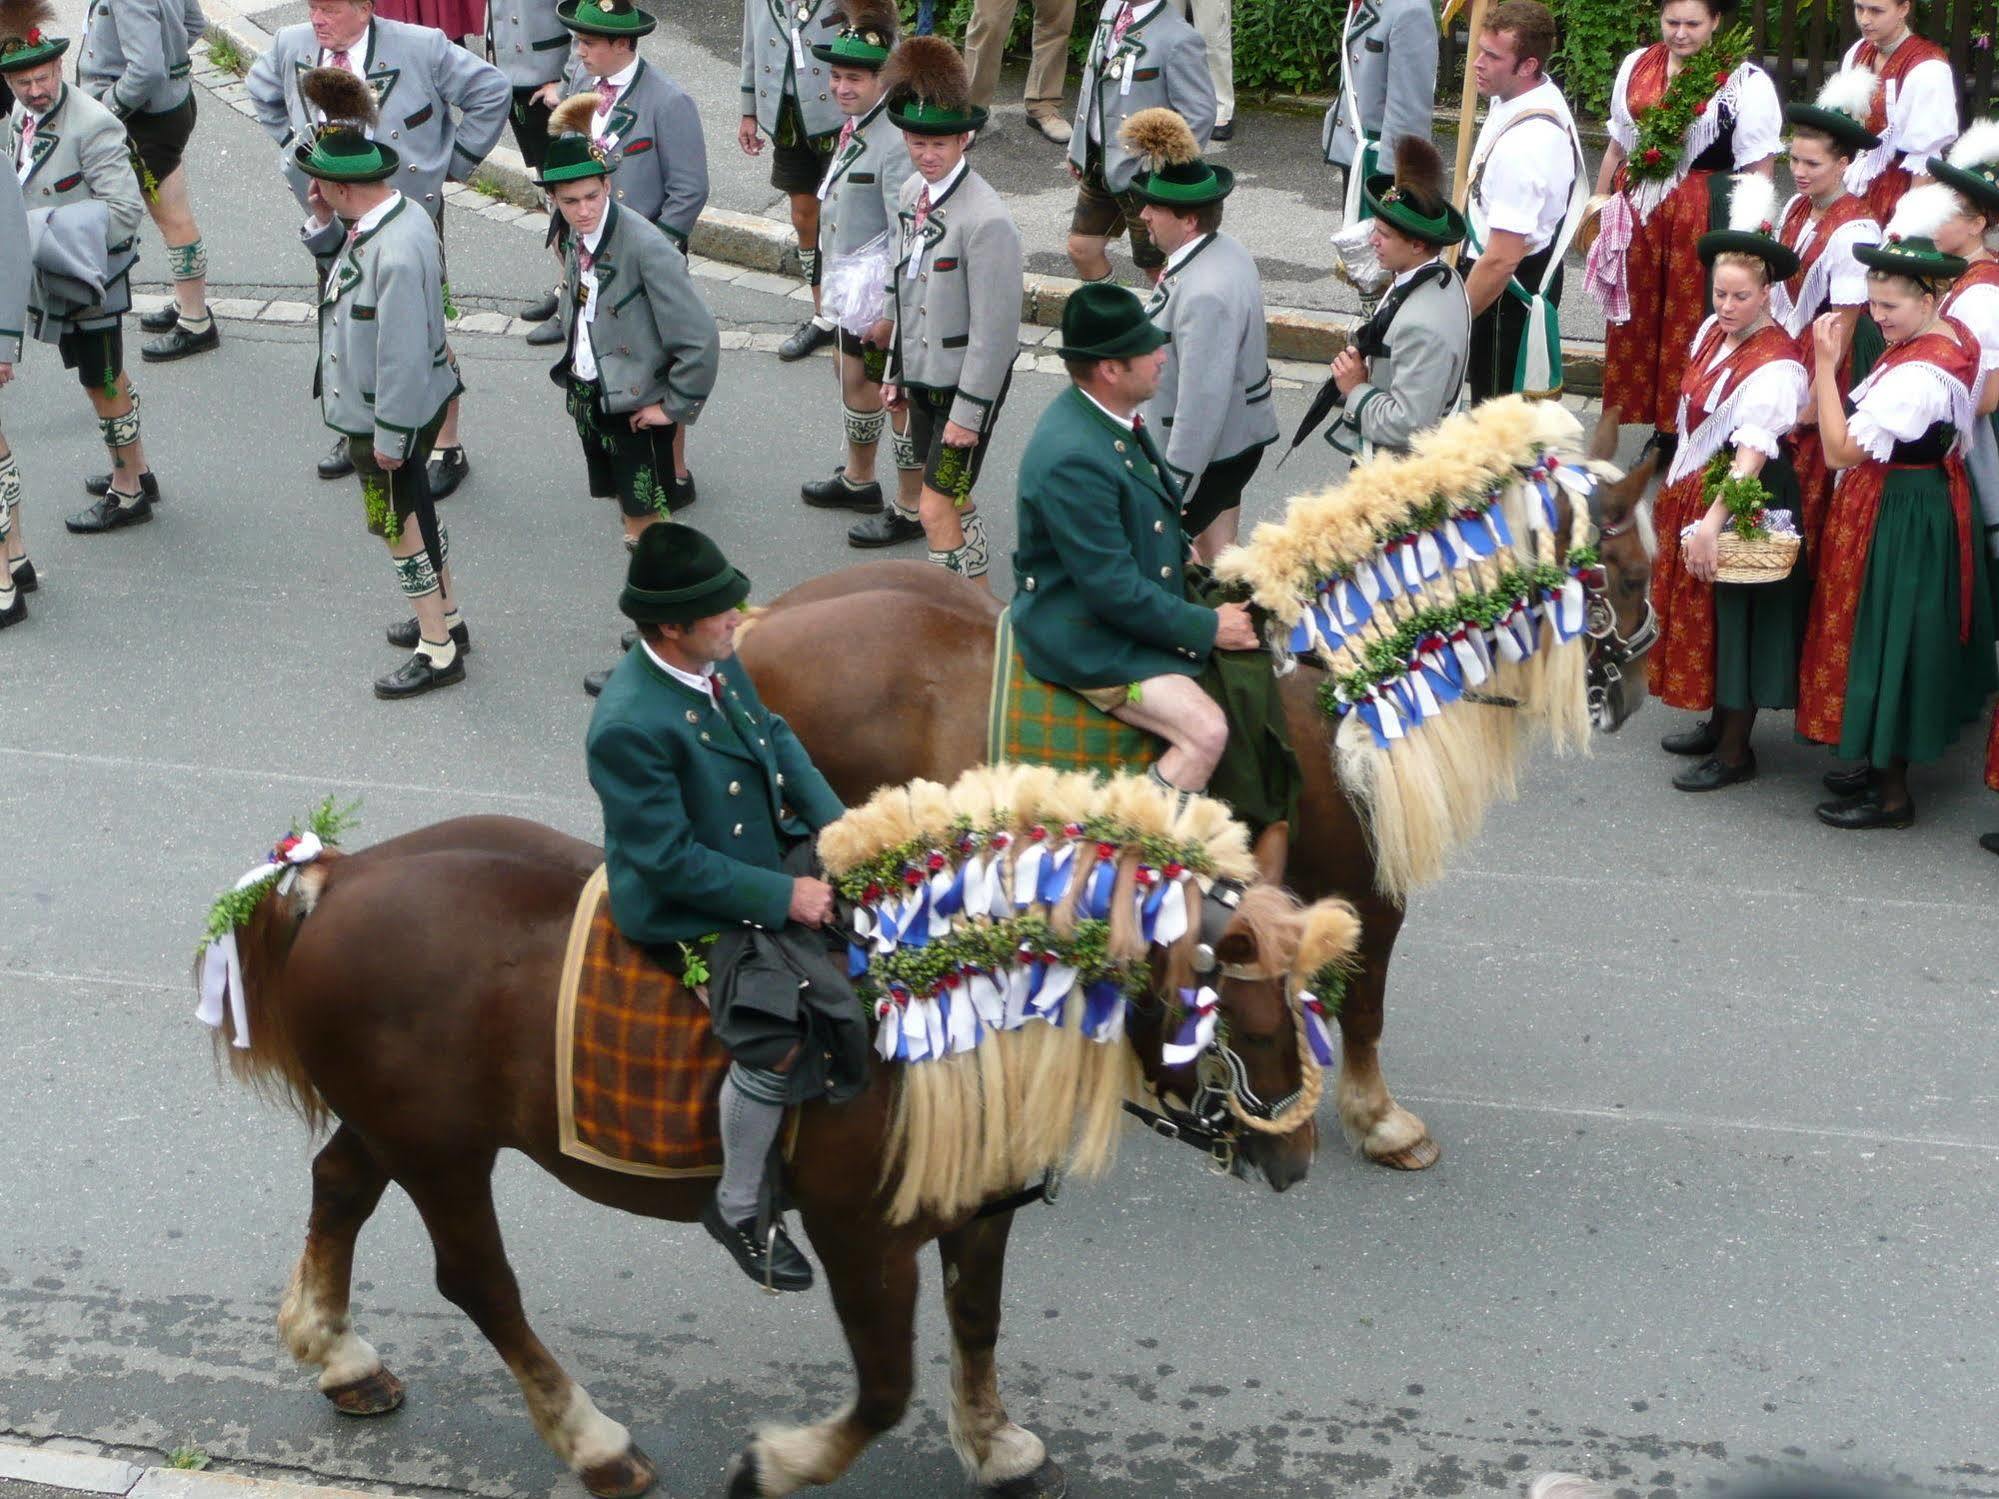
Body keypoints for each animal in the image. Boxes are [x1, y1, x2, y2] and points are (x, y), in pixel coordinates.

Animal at [210, 815, 1343, 1499]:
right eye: (1245, 1016)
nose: (1295, 1154)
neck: (956, 1006)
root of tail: (338, 873)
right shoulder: (861, 1238)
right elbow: (883, 1385)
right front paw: (778, 1462)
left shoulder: (978, 1212)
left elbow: (977, 1325)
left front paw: (993, 1443)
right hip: (446, 1152)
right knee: (478, 1280)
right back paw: (594, 1441)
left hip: (398, 1128)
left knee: (339, 1186)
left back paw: (341, 1354)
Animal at [739, 523, 1655, 1183]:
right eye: (1630, 573)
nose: (1637, 693)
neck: (1339, 691)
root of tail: (754, 634)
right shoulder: (1362, 887)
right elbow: (1365, 1003)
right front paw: (1379, 1120)